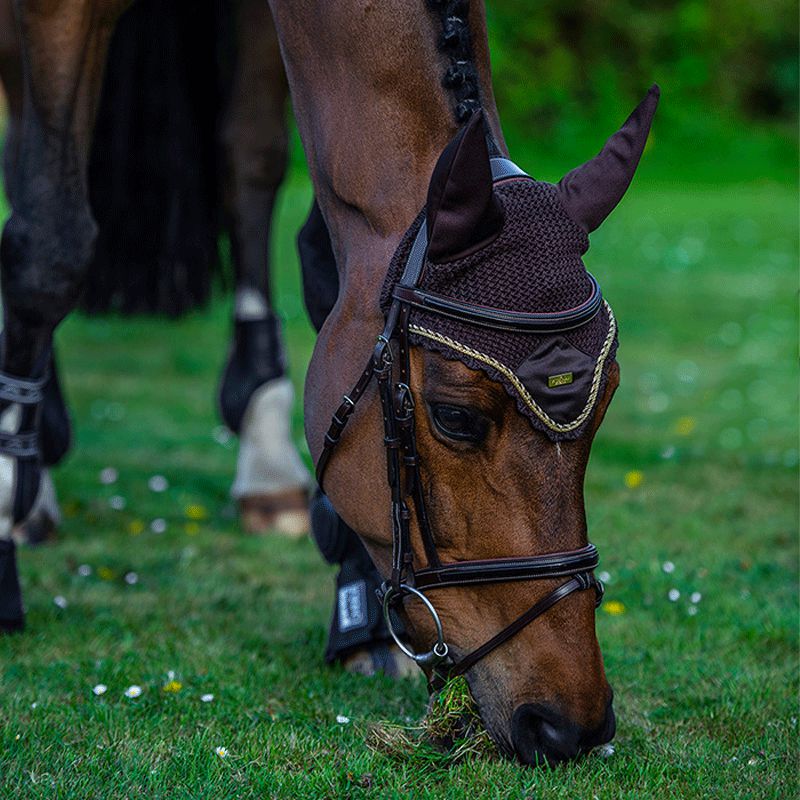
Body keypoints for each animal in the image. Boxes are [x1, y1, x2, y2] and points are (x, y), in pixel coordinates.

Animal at [0, 0, 656, 764]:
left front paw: (360, 609)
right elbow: (49, 247)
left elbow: (299, 223)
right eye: (456, 417)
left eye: (606, 400)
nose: (570, 724)